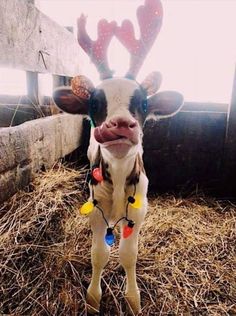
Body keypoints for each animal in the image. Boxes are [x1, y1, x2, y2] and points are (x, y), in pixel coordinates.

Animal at [53, 0, 183, 312]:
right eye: (95, 102)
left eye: (144, 103)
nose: (121, 124)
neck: (121, 180)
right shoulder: (96, 208)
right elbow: (99, 253)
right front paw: (92, 298)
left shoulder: (139, 209)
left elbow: (128, 254)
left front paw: (133, 300)